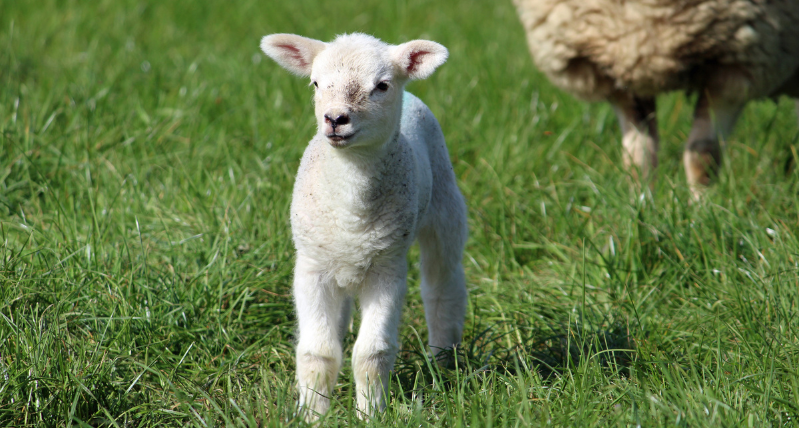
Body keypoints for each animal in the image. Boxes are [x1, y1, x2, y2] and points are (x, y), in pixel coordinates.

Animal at [260, 32, 468, 418]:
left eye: (382, 85)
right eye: (315, 83)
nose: (335, 119)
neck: (352, 211)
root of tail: (413, 96)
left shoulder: (387, 270)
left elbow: (372, 354)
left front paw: (371, 414)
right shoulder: (311, 268)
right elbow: (317, 352)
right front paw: (313, 415)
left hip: (446, 208)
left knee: (442, 286)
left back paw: (442, 361)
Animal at [512, 0, 799, 195]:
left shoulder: (740, 66)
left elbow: (703, 156)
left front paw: (701, 213)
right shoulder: (625, 67)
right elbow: (638, 158)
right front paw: (641, 211)